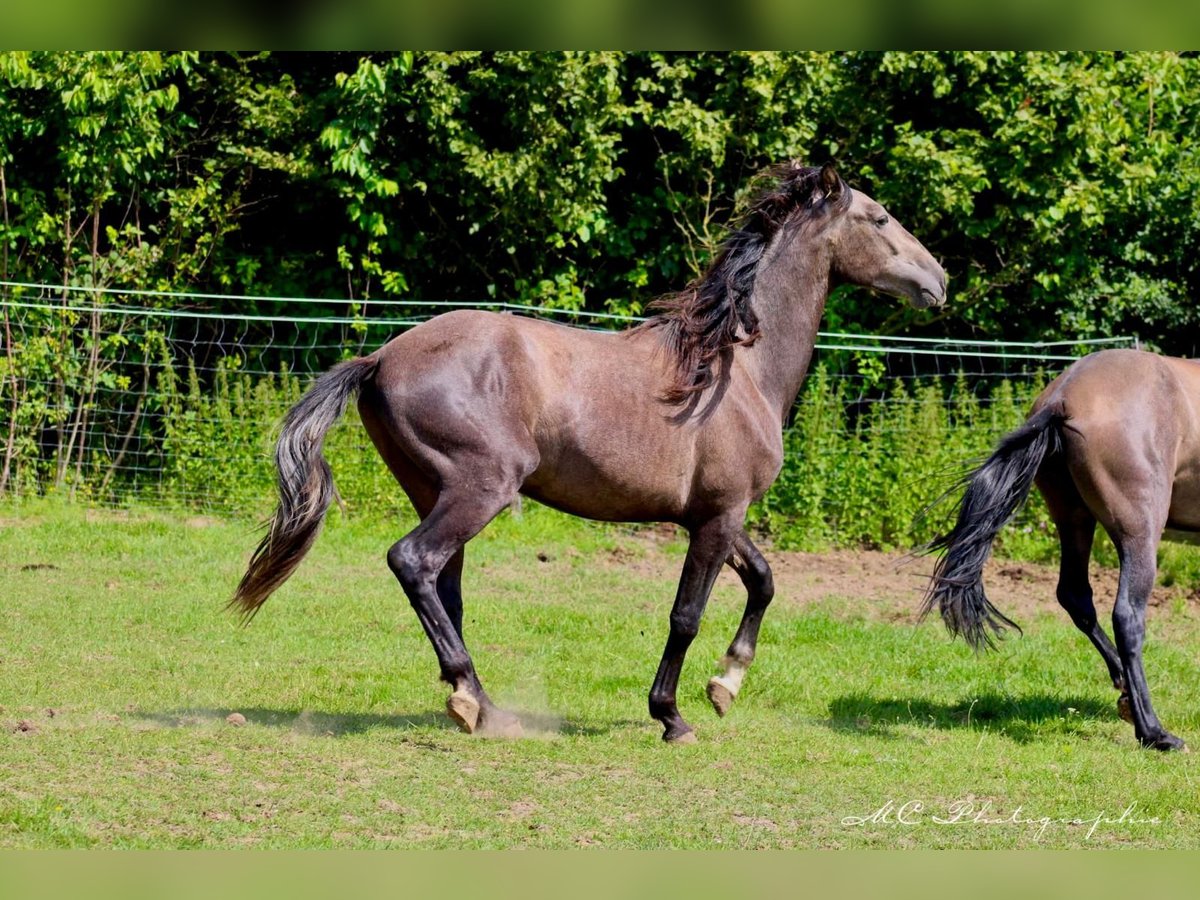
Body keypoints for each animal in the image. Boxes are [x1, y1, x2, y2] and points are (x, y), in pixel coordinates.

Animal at [231, 165, 945, 744]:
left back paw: (477, 703)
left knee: (444, 588)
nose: (938, 281)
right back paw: (476, 704)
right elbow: (686, 615)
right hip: (480, 491)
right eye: (880, 218)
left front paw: (726, 685)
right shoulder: (717, 517)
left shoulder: (718, 515)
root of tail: (379, 357)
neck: (734, 368)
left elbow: (764, 581)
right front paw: (672, 716)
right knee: (412, 562)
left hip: (435, 493)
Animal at [926, 350, 1200, 753]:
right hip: (1138, 531)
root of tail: (1064, 396)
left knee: (1075, 596)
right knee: (1127, 616)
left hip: (1073, 519)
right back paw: (1154, 732)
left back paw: (1126, 697)